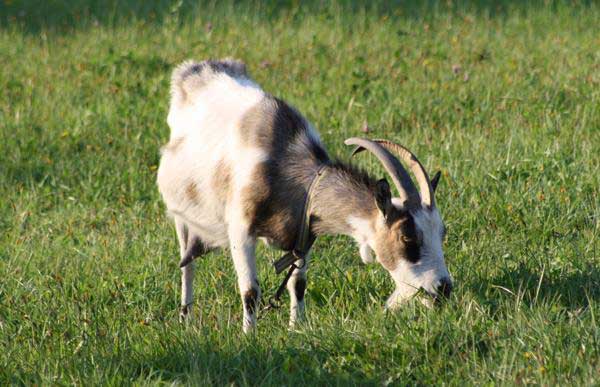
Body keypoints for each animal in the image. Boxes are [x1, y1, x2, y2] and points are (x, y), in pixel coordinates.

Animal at [157, 59, 452, 334]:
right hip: (182, 217)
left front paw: (295, 328)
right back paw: (185, 316)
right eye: (407, 237)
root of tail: (193, 70)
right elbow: (250, 291)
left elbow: (297, 284)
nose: (443, 289)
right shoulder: (240, 231)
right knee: (187, 266)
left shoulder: (304, 235)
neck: (285, 167)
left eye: (442, 232)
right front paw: (249, 337)